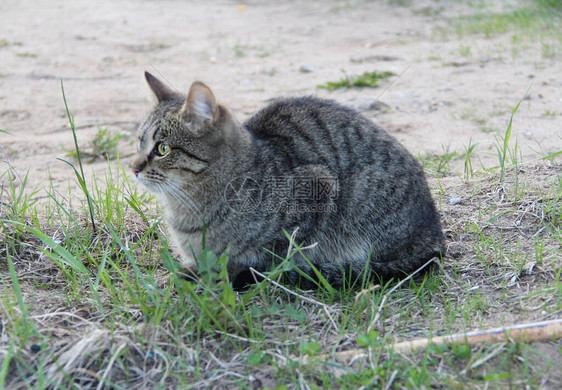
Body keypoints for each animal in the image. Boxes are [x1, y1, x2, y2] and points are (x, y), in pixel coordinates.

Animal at [131, 71, 442, 290]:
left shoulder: (318, 188)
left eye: (162, 149)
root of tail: (435, 233)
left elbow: (272, 257)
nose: (133, 168)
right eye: (139, 142)